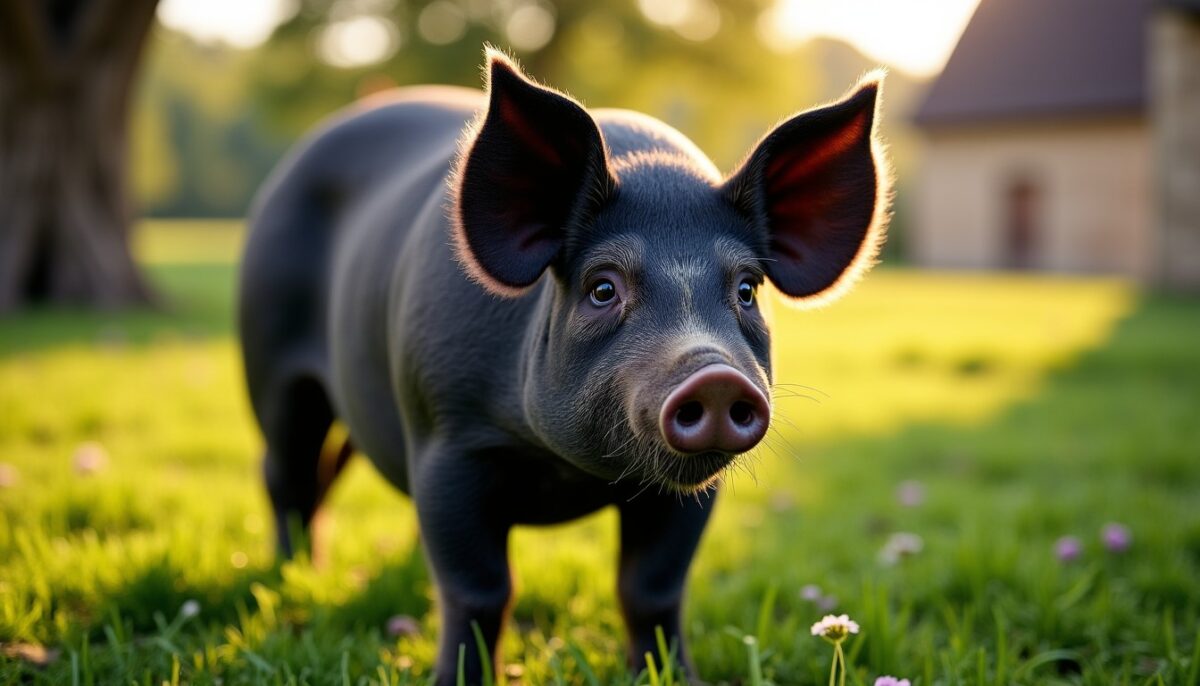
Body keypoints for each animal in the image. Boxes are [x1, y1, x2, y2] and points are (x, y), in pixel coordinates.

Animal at [238, 49, 889, 684]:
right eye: (602, 288)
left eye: (747, 290)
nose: (716, 377)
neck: (564, 469)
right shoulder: (447, 438)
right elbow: (477, 590)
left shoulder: (690, 492)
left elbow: (651, 589)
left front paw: (678, 678)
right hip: (271, 365)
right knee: (285, 476)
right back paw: (294, 576)